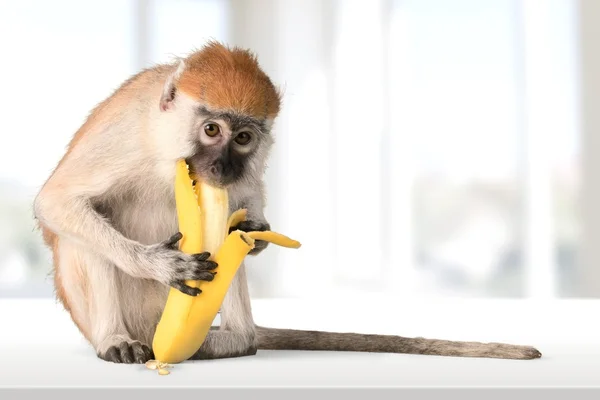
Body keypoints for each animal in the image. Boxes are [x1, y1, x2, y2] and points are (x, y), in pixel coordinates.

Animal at [31, 40, 540, 362]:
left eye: (243, 138)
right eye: (211, 129)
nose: (221, 167)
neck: (166, 143)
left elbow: (247, 201)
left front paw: (256, 231)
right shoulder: (127, 136)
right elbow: (58, 202)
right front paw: (161, 264)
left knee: (228, 243)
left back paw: (237, 341)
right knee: (85, 232)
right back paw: (116, 339)